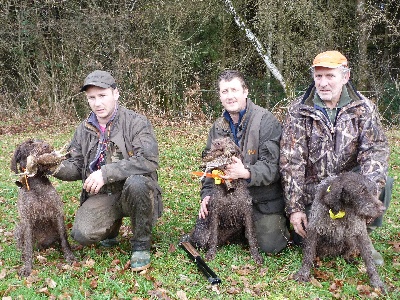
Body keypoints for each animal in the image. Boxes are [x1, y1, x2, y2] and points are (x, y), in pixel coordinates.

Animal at [10, 138, 76, 276]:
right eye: (29, 143)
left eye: (40, 140)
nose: (46, 145)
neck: (37, 183)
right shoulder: (27, 220)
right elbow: (28, 246)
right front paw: (27, 267)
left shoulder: (57, 214)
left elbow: (64, 238)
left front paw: (69, 257)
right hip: (19, 227)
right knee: (22, 245)